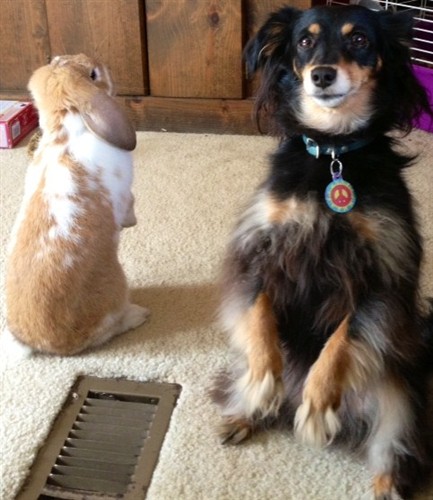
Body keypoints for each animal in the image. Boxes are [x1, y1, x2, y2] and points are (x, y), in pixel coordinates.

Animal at [4, 54, 149, 357]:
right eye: (93, 75)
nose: (104, 64)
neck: (66, 131)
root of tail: (39, 343)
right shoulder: (124, 193)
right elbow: (129, 203)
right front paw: (130, 222)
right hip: (114, 295)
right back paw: (138, 315)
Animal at [212, 5, 433, 499]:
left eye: (360, 41)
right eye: (305, 42)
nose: (322, 75)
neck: (334, 153)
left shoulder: (382, 274)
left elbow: (341, 342)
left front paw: (315, 409)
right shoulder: (258, 255)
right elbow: (258, 319)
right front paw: (263, 382)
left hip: (399, 391)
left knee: (396, 441)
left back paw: (387, 482)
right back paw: (245, 413)